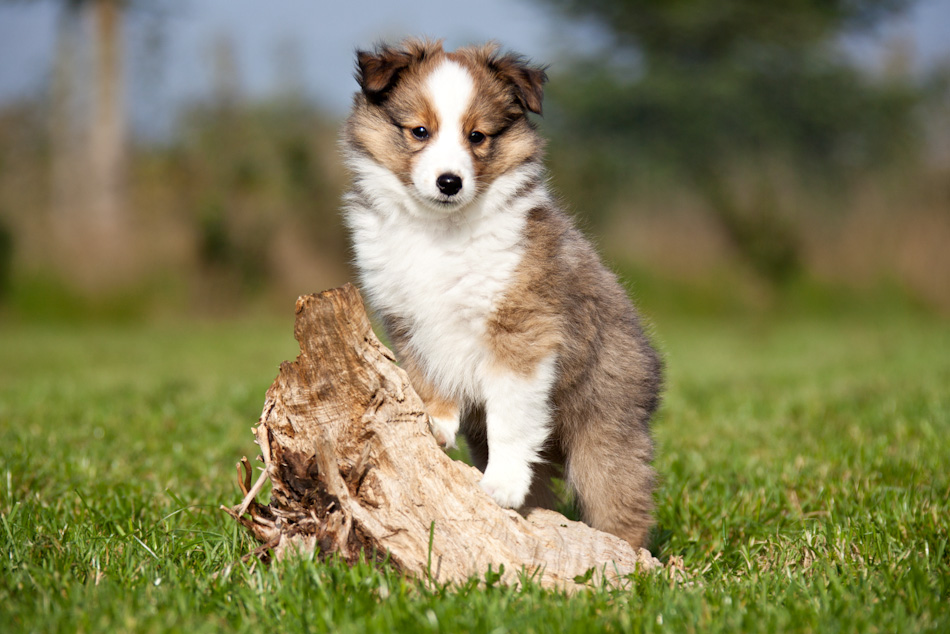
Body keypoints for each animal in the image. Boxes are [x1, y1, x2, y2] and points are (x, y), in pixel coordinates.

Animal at [342, 38, 660, 548]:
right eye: (419, 131)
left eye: (477, 137)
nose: (449, 182)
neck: (440, 229)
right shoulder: (406, 319)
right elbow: (427, 375)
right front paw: (436, 424)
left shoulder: (521, 329)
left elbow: (510, 415)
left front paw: (503, 485)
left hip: (605, 425)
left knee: (621, 501)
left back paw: (624, 554)